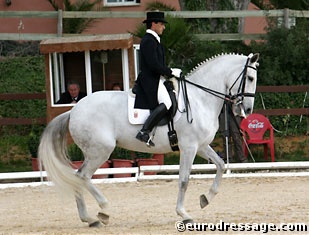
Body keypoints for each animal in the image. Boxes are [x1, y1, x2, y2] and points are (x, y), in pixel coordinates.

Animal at [39, 52, 258, 228]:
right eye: (250, 77)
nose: (247, 110)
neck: (199, 99)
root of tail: (73, 110)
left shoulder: (202, 146)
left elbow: (220, 165)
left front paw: (206, 198)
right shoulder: (189, 147)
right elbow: (184, 180)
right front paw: (184, 214)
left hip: (95, 151)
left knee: (78, 177)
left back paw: (90, 219)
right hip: (100, 151)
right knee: (83, 176)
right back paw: (103, 209)